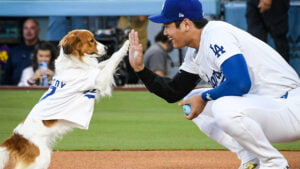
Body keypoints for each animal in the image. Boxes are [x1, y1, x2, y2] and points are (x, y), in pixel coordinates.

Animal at [0, 29, 129, 168]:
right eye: (91, 40)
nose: (107, 47)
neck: (73, 64)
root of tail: (17, 138)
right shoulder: (99, 80)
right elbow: (112, 59)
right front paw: (126, 45)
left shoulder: (95, 72)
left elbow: (103, 63)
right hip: (42, 158)